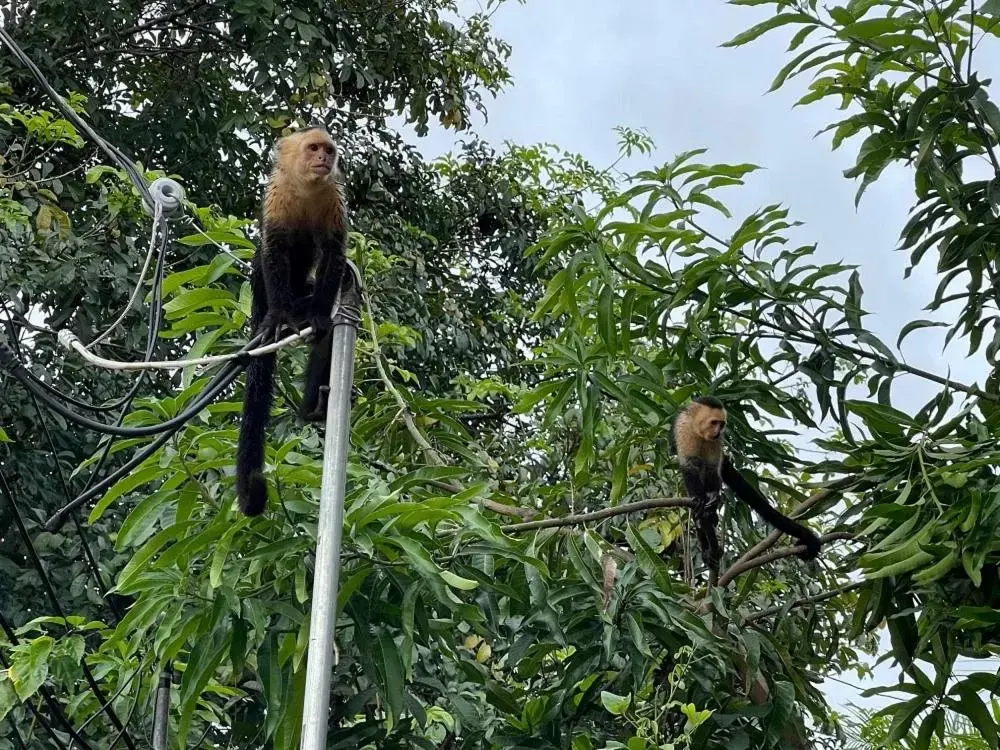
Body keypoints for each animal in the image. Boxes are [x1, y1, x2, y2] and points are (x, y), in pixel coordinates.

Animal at [234, 128, 348, 516]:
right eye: (313, 148)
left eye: (328, 150)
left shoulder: (333, 198)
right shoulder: (277, 194)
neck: (307, 189)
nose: (324, 158)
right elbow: (274, 249)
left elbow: (333, 253)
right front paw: (280, 315)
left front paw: (317, 314)